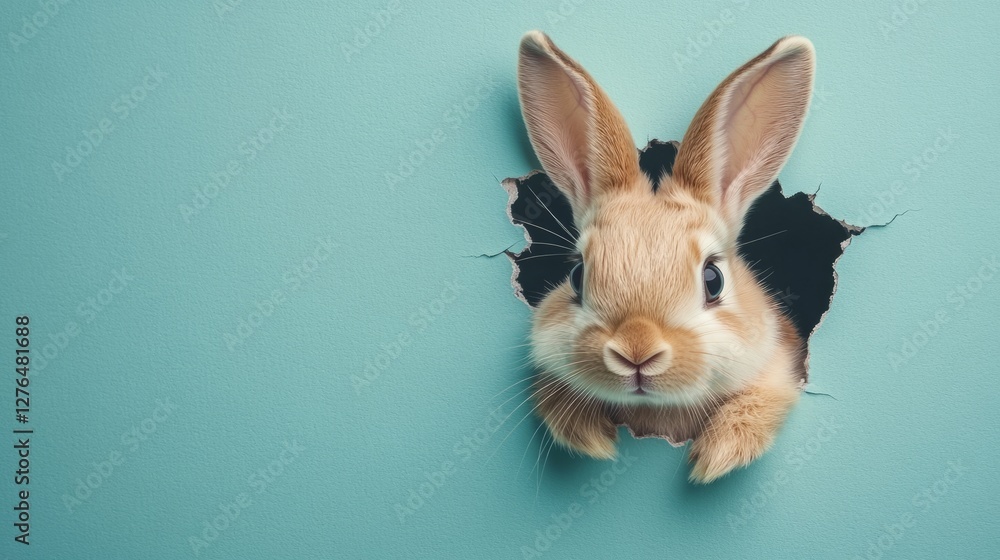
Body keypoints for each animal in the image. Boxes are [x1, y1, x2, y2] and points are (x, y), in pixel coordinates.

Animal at [517, 31, 815, 483]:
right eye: (577, 275)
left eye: (713, 279)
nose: (636, 351)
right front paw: (590, 437)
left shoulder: (779, 371)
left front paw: (717, 456)